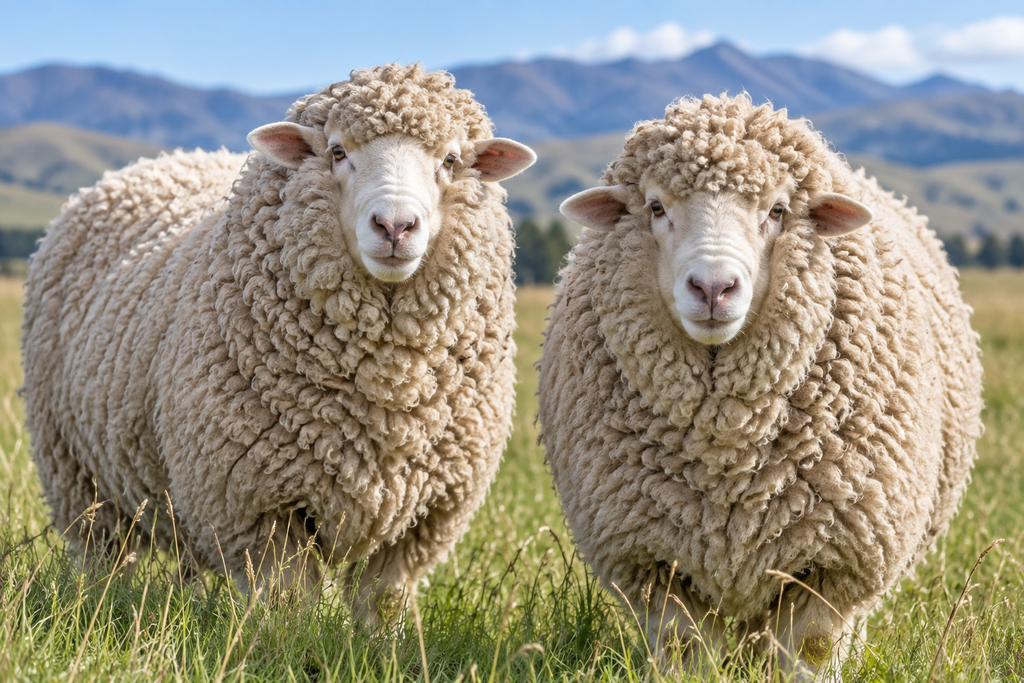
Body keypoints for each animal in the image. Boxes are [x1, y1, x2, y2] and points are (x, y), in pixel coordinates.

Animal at [21, 63, 536, 618]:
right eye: (337, 151)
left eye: (451, 159)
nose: (395, 225)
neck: (388, 391)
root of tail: (159, 161)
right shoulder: (257, 505)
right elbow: (290, 602)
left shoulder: (423, 520)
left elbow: (383, 604)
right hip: (78, 477)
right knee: (104, 554)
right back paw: (93, 602)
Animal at [538, 93, 983, 677]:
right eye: (655, 207)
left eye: (776, 210)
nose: (713, 287)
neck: (728, 444)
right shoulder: (655, 564)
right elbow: (683, 649)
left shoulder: (833, 565)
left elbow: (812, 649)